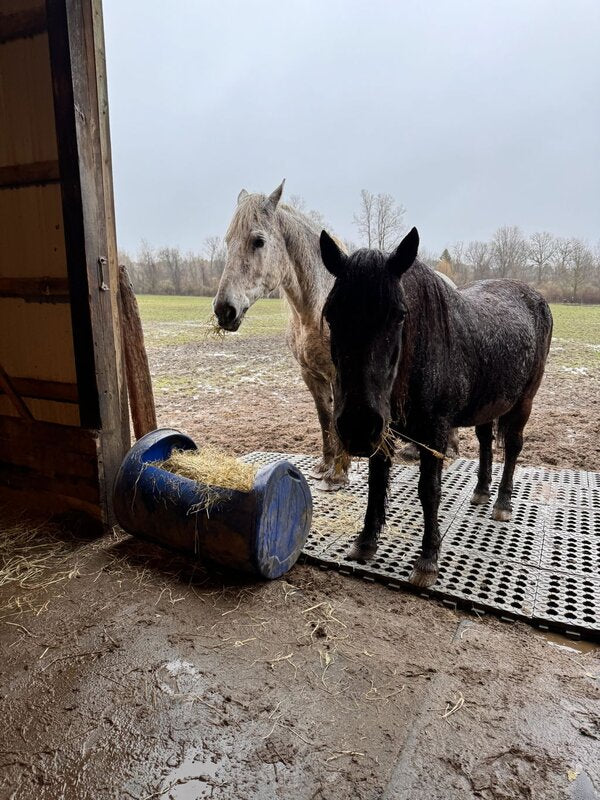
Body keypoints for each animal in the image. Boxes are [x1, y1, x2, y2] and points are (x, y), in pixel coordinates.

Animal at [213, 180, 351, 490]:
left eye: (258, 241)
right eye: (228, 241)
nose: (224, 310)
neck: (317, 310)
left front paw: (338, 474)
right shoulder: (310, 375)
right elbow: (324, 418)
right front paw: (324, 466)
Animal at [319, 226, 553, 588]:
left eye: (399, 314)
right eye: (332, 314)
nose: (357, 426)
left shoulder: (435, 433)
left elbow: (429, 491)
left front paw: (428, 559)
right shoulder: (383, 431)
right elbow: (377, 482)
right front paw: (366, 541)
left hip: (524, 402)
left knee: (513, 446)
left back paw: (502, 502)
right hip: (488, 403)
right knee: (486, 442)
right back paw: (482, 491)